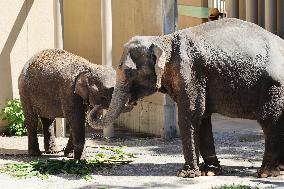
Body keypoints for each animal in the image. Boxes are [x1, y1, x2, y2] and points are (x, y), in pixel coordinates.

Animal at [87, 18, 284, 178]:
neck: (163, 39)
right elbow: (203, 117)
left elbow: (190, 115)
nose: (96, 105)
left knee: (270, 120)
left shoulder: (189, 73)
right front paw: (209, 172)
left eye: (129, 72)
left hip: (274, 87)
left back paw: (266, 173)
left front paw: (185, 174)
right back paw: (279, 169)